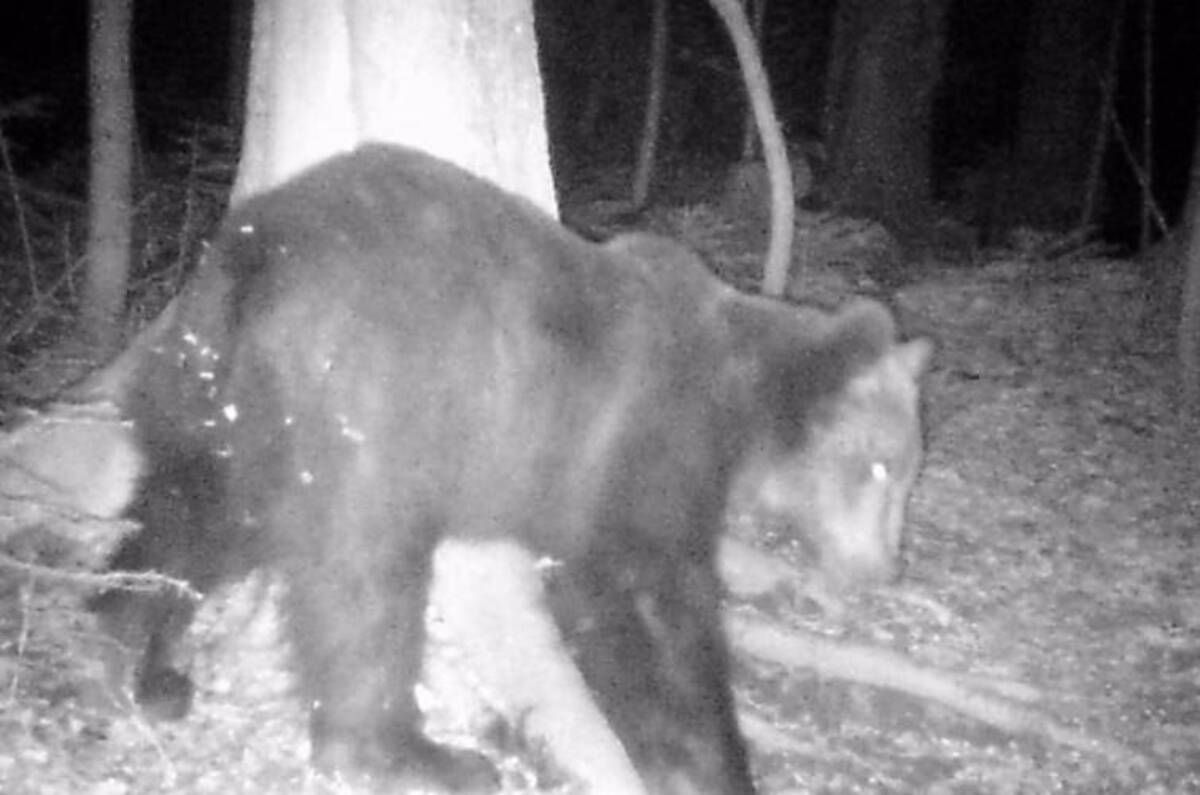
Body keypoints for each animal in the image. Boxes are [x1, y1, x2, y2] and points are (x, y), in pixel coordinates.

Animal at [84, 144, 931, 795]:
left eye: (909, 471)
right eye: (881, 467)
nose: (885, 568)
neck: (737, 403)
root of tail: (249, 261)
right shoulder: (641, 440)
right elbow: (647, 606)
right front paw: (711, 762)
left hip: (213, 398)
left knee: (195, 511)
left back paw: (138, 650)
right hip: (363, 410)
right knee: (362, 584)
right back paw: (418, 753)